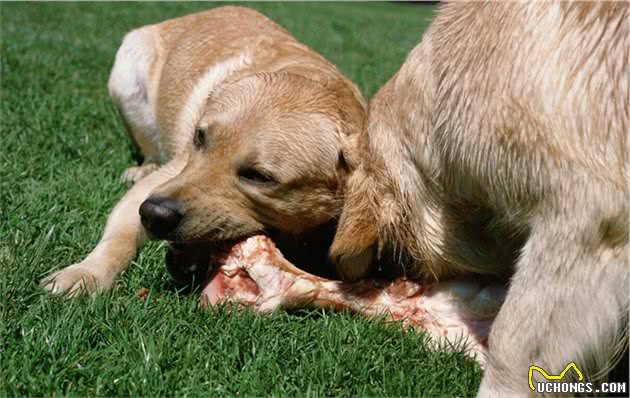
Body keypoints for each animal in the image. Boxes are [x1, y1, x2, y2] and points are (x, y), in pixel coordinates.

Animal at [42, 7, 366, 296]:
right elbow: (119, 236)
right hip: (127, 75)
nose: (153, 214)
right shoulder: (159, 183)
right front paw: (84, 273)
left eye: (258, 176)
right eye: (199, 137)